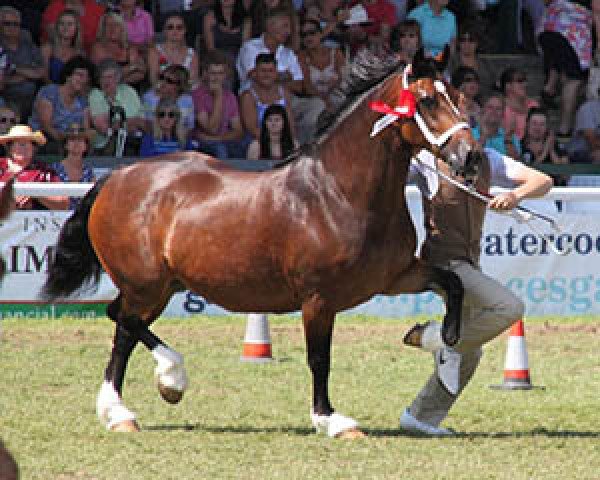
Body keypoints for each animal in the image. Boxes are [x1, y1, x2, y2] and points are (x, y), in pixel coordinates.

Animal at [41, 49, 482, 438]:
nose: (471, 157)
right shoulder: (319, 298)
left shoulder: (394, 278)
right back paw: (146, 396)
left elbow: (454, 285)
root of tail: (116, 177)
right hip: (145, 284)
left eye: (457, 97)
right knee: (124, 325)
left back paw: (146, 396)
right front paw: (332, 421)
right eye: (427, 100)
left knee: (122, 322)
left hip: (161, 286)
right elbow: (319, 359)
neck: (338, 193)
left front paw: (441, 343)